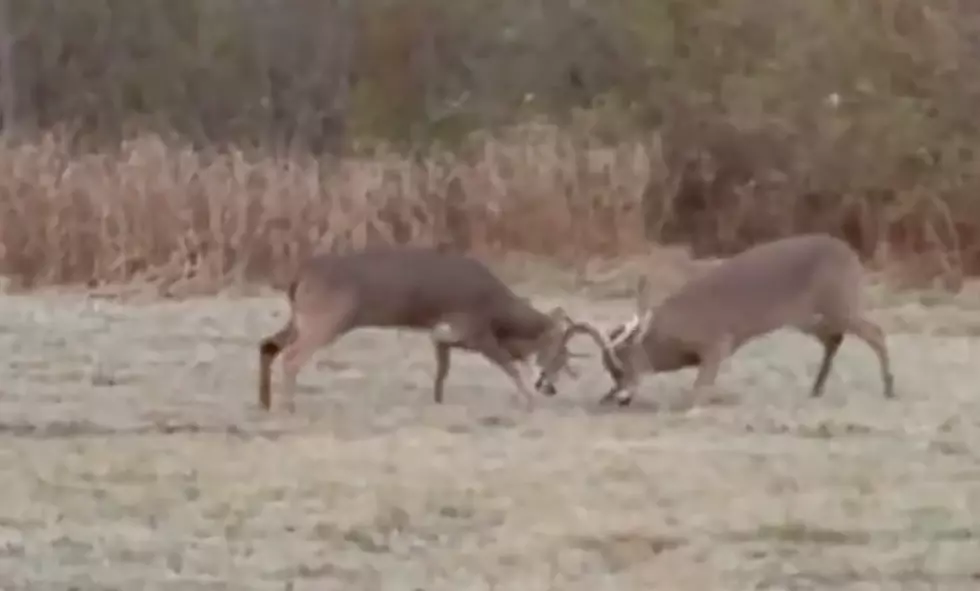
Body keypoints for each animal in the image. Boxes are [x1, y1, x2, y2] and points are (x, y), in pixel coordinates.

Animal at [256, 247, 600, 414]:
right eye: (559, 355)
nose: (550, 388)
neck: (499, 311)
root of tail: (299, 276)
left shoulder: (445, 333)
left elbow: (441, 370)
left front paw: (437, 402)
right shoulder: (473, 328)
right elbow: (508, 365)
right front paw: (529, 402)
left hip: (302, 317)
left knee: (268, 345)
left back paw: (266, 402)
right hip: (327, 317)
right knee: (292, 356)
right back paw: (287, 406)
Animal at [536, 234, 896, 410]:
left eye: (622, 367)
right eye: (610, 370)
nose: (623, 396)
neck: (668, 338)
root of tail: (851, 253)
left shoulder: (717, 343)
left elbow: (697, 392)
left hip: (839, 304)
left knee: (875, 332)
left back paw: (889, 388)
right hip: (809, 317)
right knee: (834, 339)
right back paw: (817, 389)